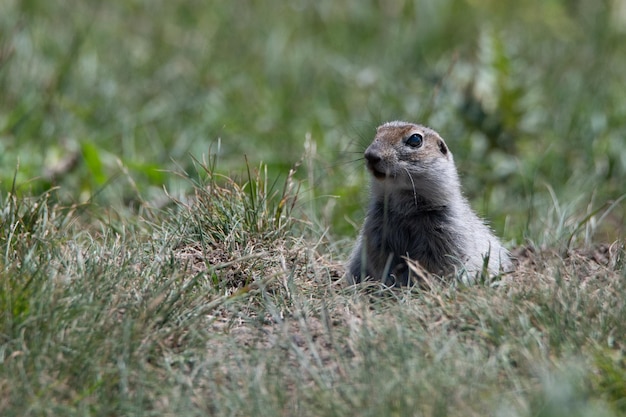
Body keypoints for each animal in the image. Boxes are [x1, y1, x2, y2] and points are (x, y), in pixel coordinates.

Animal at [346, 118, 512, 284]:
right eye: (377, 132)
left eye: (415, 139)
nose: (370, 155)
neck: (404, 204)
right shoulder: (377, 229)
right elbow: (381, 258)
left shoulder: (446, 230)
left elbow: (434, 263)